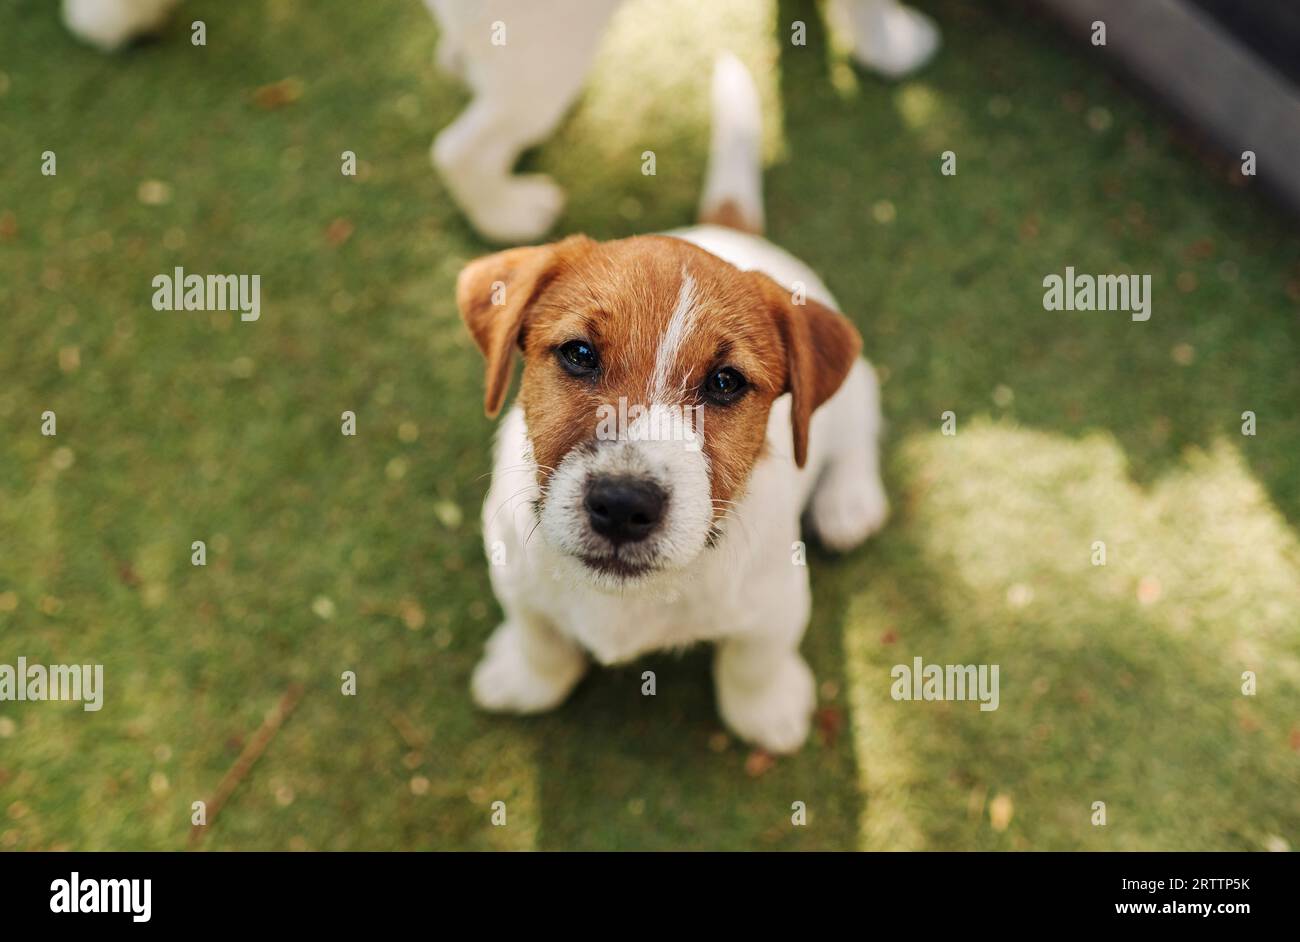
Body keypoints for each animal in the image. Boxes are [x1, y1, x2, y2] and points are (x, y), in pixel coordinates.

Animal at [452, 56, 889, 748]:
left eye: (725, 383)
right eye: (579, 353)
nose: (622, 506)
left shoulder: (777, 600)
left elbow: (754, 659)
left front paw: (767, 712)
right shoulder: (511, 571)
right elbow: (537, 633)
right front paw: (525, 678)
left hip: (848, 398)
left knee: (859, 419)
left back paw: (850, 501)